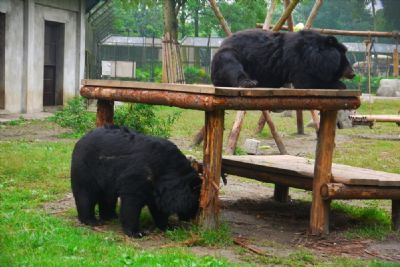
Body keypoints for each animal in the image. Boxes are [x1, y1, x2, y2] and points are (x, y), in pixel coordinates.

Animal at [70, 125, 202, 239]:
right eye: (196, 204)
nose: (190, 218)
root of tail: (81, 139)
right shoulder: (139, 174)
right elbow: (131, 204)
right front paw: (137, 232)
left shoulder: (156, 186)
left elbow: (158, 207)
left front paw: (168, 226)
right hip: (85, 168)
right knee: (85, 194)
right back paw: (91, 220)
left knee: (107, 198)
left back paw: (111, 216)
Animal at [211, 29, 354, 89]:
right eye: (343, 58)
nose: (352, 73)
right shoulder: (298, 61)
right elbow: (305, 82)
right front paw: (340, 84)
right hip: (229, 53)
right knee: (232, 66)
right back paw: (249, 83)